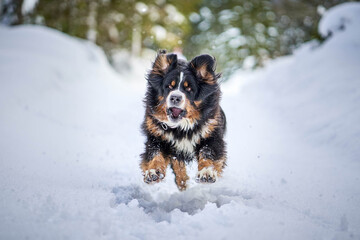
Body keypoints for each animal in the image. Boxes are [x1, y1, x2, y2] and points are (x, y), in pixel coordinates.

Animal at [140, 50, 226, 191]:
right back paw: (182, 182)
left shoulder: (211, 135)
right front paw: (153, 173)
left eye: (189, 89)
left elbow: (208, 153)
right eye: (169, 86)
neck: (181, 127)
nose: (175, 97)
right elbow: (155, 154)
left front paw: (206, 173)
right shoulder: (157, 136)